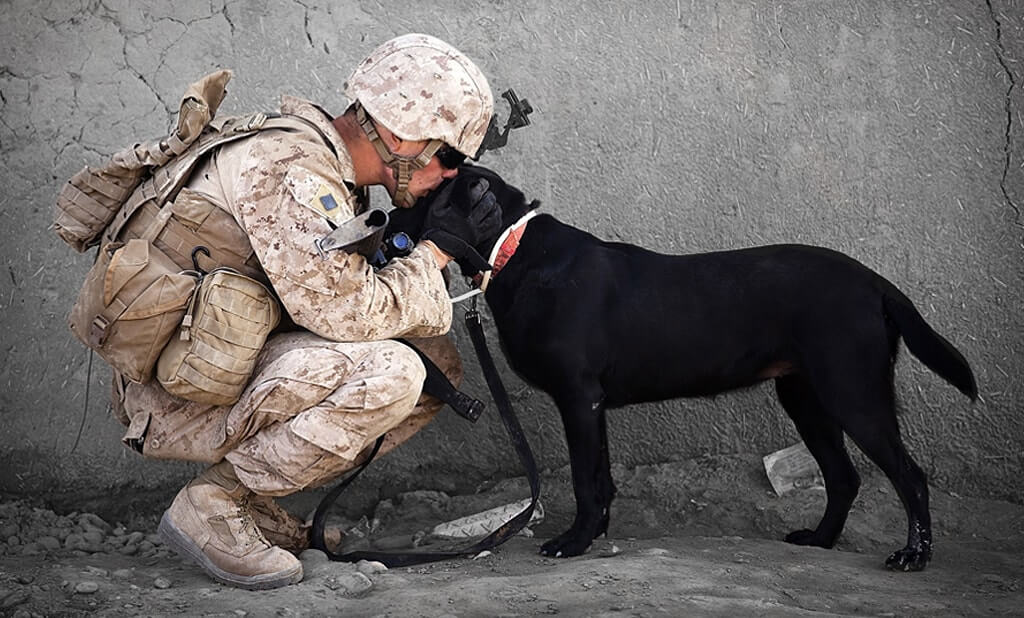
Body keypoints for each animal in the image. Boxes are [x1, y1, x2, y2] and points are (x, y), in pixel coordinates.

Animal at [391, 162, 974, 568]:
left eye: (423, 196)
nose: (382, 215)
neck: (515, 251)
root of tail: (874, 281)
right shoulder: (593, 404)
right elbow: (601, 477)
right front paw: (594, 534)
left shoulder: (579, 398)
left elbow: (583, 478)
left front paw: (573, 542)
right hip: (805, 396)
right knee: (845, 477)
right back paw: (821, 539)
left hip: (853, 392)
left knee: (909, 476)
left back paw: (913, 556)